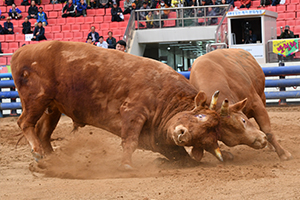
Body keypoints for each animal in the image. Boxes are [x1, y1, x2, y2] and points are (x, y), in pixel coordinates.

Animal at [11, 40, 223, 169]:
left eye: (203, 138)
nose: (182, 134)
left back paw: (52, 159)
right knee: (25, 123)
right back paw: (38, 152)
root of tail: (20, 52)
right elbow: (130, 141)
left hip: (52, 107)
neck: (166, 94)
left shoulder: (157, 139)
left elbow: (180, 156)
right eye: (200, 116)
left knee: (44, 133)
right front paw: (126, 165)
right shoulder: (134, 110)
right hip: (36, 98)